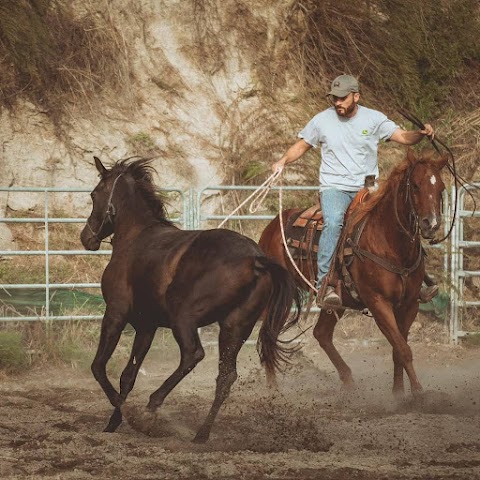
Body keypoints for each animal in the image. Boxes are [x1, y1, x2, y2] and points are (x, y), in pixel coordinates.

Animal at [81, 158, 300, 442]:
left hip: (183, 316)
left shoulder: (115, 314)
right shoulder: (146, 326)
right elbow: (128, 375)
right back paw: (201, 434)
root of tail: (255, 260)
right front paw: (113, 422)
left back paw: (151, 408)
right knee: (225, 377)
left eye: (94, 194)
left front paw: (127, 414)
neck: (135, 236)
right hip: (235, 327)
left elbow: (98, 366)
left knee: (193, 354)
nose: (86, 238)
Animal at [260, 151, 448, 398]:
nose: (431, 224)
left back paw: (348, 382)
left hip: (336, 302)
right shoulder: (378, 303)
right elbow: (403, 348)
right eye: (416, 185)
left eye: (441, 188)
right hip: (280, 297)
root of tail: (272, 227)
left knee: (321, 334)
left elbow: (398, 349)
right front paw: (418, 394)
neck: (389, 243)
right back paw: (272, 391)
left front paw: (399, 394)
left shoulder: (409, 305)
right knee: (270, 333)